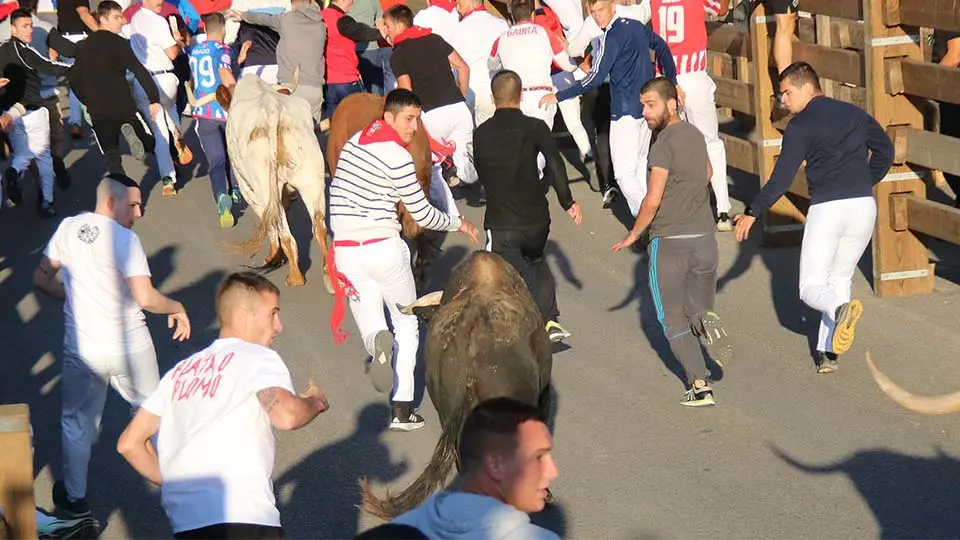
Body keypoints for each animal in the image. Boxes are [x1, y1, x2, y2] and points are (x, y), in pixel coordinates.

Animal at [197, 74, 333, 291]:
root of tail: (272, 109)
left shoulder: (247, 188)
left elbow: (268, 224)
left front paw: (274, 256)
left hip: (262, 187)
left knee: (285, 233)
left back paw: (294, 277)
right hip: (312, 180)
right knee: (319, 227)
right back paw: (329, 278)